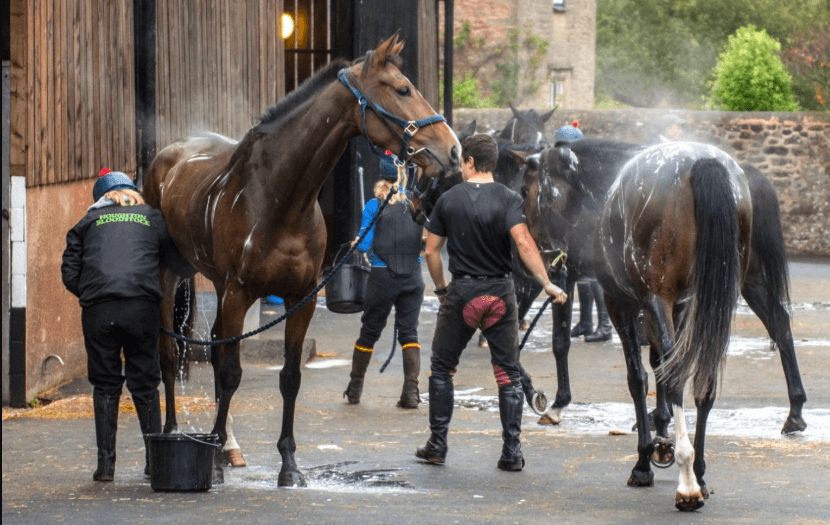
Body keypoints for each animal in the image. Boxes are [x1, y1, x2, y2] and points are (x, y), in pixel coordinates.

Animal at [143, 34, 461, 487]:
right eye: (402, 89)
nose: (452, 150)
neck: (279, 197)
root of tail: (169, 154)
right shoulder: (240, 293)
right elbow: (230, 373)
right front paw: (214, 458)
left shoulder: (301, 298)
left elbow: (288, 378)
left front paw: (287, 465)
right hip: (173, 277)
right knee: (170, 355)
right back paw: (169, 439)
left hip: (215, 284)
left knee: (216, 349)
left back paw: (228, 445)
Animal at [516, 140, 807, 509]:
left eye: (526, 191)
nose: (538, 257)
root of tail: (705, 164)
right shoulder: (678, 307)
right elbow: (659, 366)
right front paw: (662, 433)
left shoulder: (623, 302)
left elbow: (636, 376)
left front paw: (645, 457)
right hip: (726, 293)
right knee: (733, 358)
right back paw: (709, 463)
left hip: (671, 297)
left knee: (682, 373)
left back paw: (687, 480)